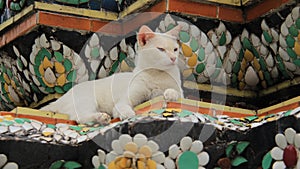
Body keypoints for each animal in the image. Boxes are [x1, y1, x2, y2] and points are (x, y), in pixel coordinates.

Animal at [40, 24, 183, 123]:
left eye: (175, 49)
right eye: (161, 49)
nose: (173, 58)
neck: (157, 74)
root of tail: (61, 99)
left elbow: (176, 92)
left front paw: (171, 93)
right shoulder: (126, 98)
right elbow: (122, 106)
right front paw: (127, 114)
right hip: (87, 99)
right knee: (79, 117)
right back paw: (101, 117)